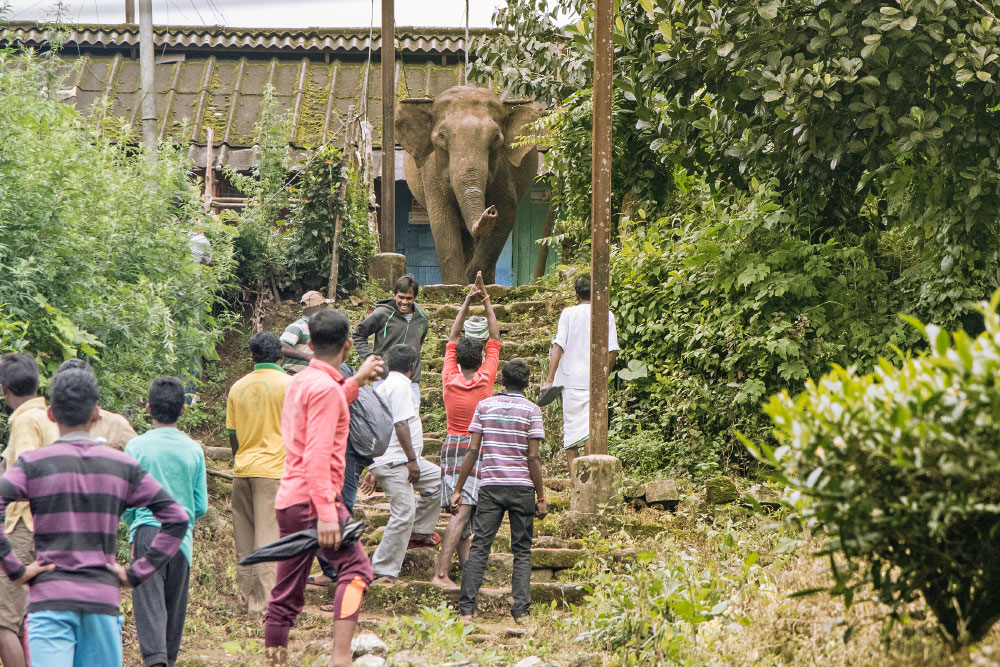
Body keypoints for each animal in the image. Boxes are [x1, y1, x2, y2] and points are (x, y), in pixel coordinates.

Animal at [396, 85, 540, 284]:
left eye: (496, 139)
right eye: (442, 136)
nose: (490, 210)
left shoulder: (504, 169)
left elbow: (507, 212)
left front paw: (474, 279)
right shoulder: (430, 171)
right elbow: (442, 219)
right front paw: (457, 284)